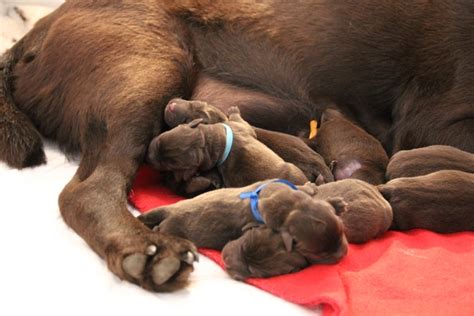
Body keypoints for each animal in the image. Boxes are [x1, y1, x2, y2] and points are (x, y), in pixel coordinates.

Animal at [137, 180, 348, 264]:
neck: (290, 208)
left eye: (342, 234)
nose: (344, 254)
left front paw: (335, 203)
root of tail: (170, 209)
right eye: (320, 254)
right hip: (171, 227)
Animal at [148, 106, 308, 188]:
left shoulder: (240, 128)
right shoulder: (241, 127)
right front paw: (233, 110)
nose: (148, 157)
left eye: (169, 165)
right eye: (159, 141)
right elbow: (240, 120)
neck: (208, 141)